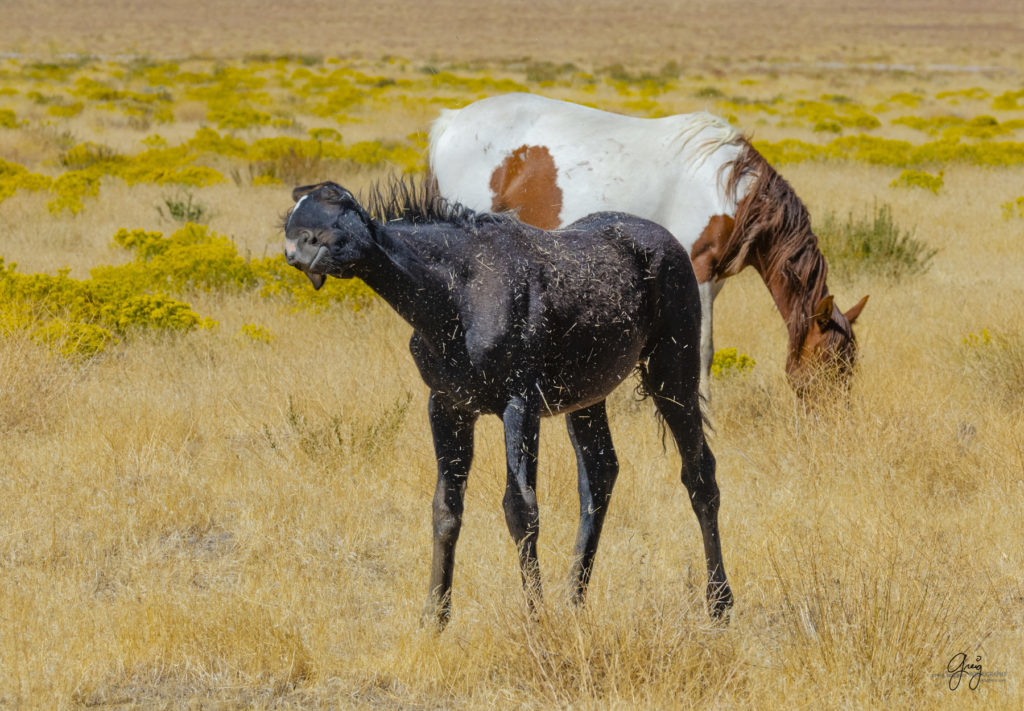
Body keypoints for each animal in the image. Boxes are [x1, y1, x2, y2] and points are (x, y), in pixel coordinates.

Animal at [280, 181, 729, 631]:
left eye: (336, 206)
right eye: (291, 220)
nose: (295, 249)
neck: (458, 295)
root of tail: (666, 239)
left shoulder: (520, 406)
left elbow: (521, 508)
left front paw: (536, 617)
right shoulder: (448, 407)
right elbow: (445, 509)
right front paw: (434, 616)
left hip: (672, 374)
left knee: (700, 474)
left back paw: (719, 604)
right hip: (587, 399)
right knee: (600, 474)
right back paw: (575, 599)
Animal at [428, 91, 868, 397]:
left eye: (849, 367)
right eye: (833, 365)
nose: (835, 421)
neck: (731, 189)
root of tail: (452, 121)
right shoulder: (699, 271)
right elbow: (701, 348)